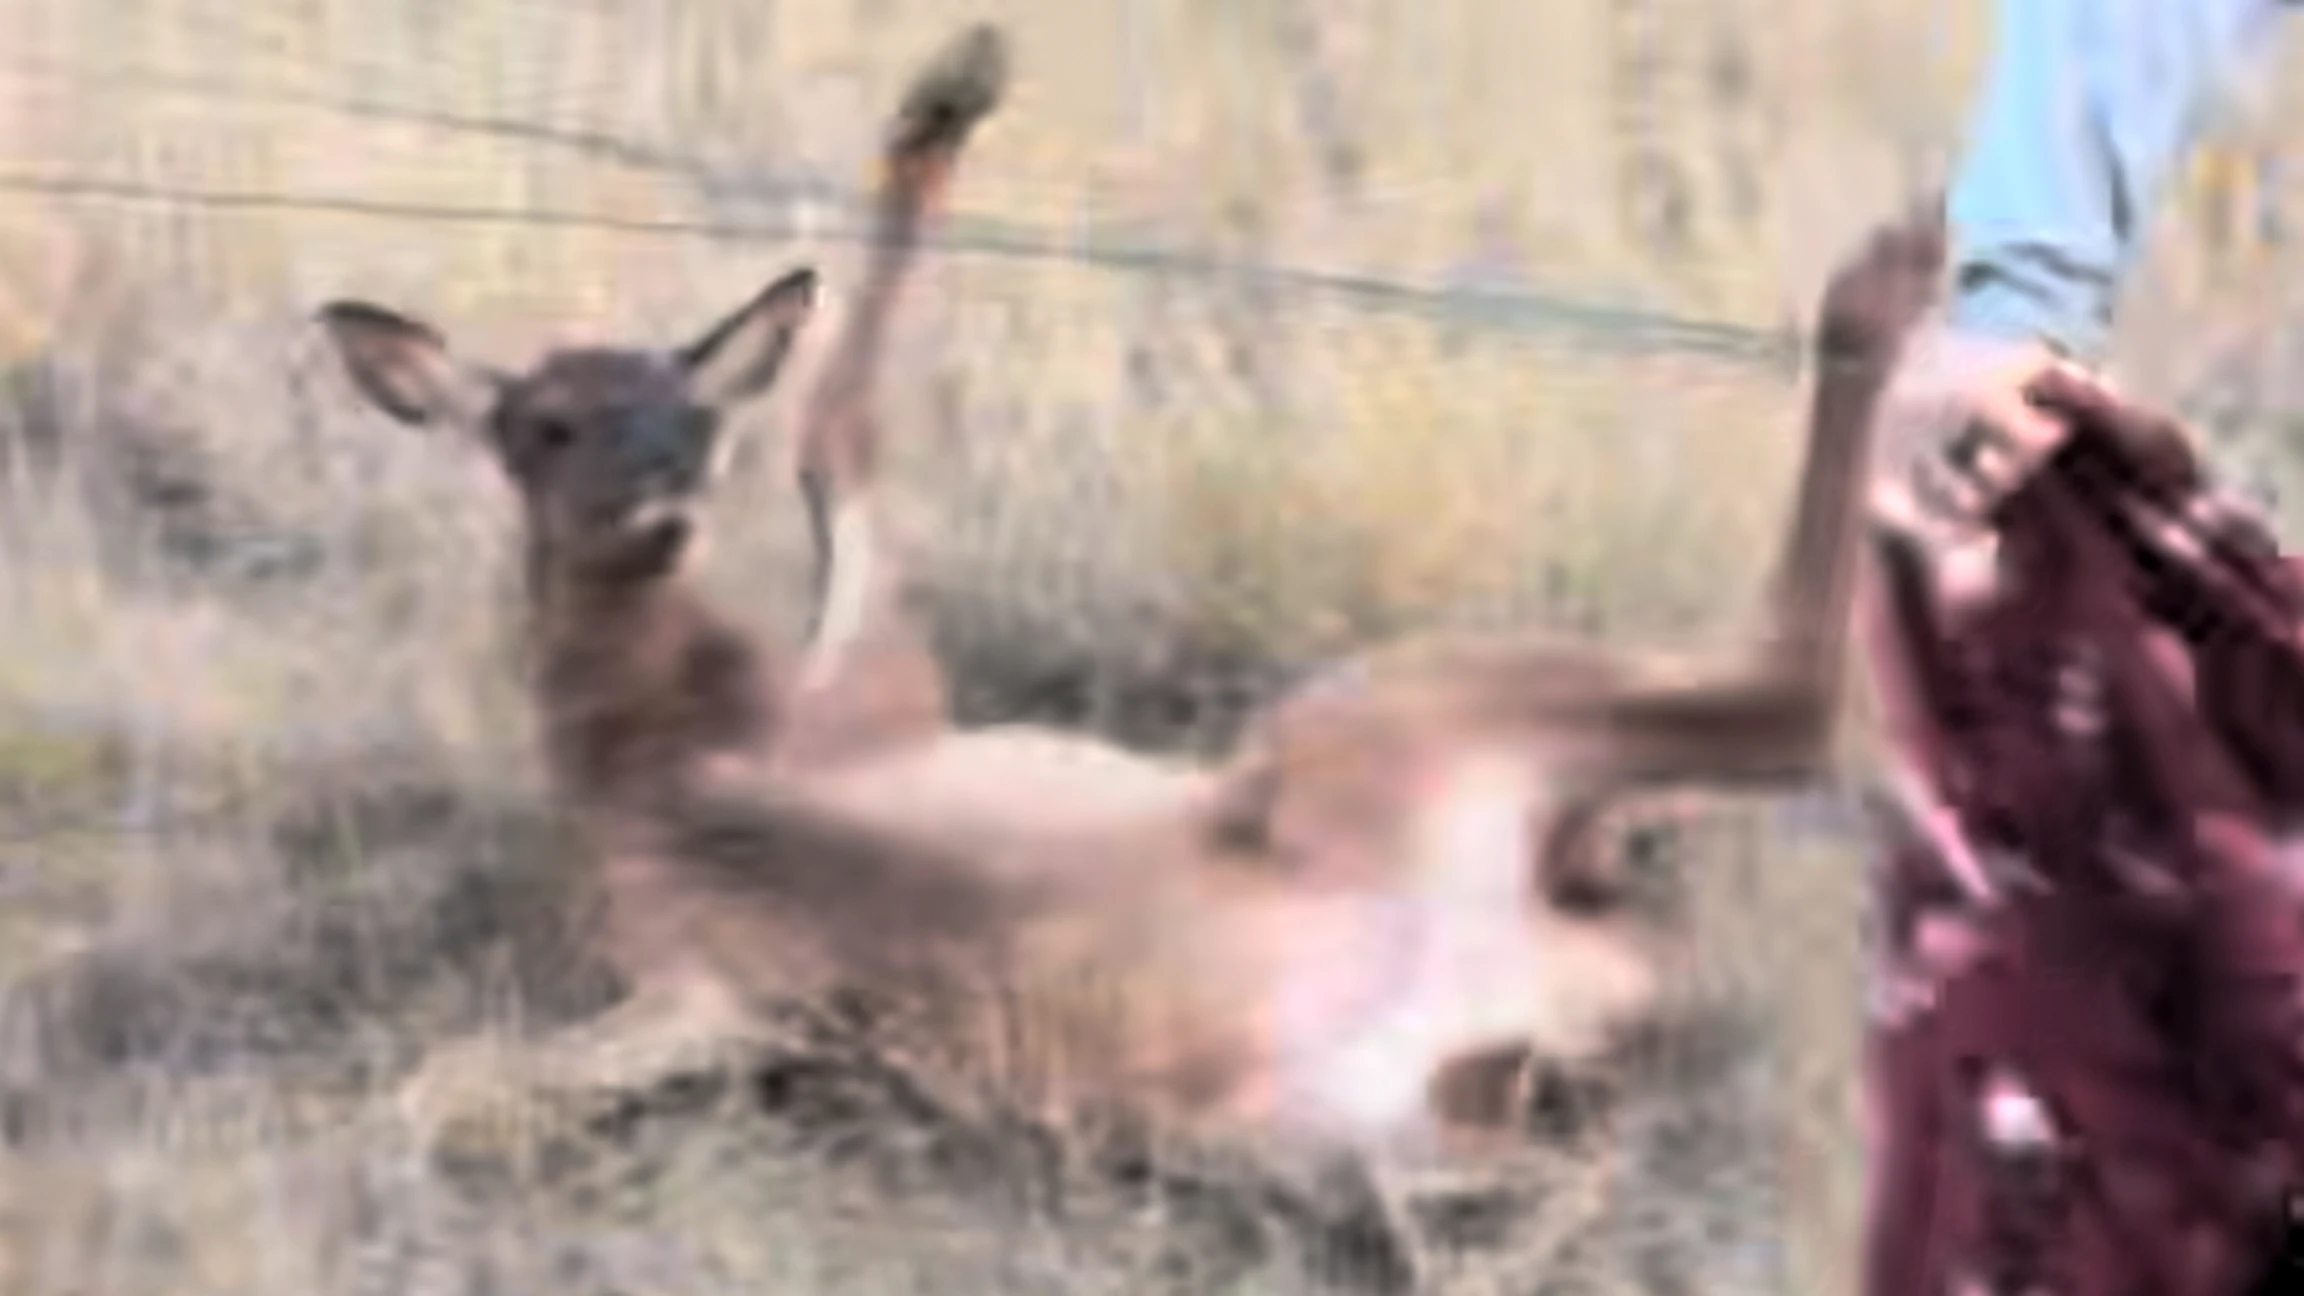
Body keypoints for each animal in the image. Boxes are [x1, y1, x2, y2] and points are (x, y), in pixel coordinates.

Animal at [315, 18, 1944, 1188]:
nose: (669, 490)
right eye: (543, 425)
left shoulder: (864, 702)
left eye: (687, 405)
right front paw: (945, 90)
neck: (655, 750)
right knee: (1788, 702)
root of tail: (1536, 980)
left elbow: (831, 431)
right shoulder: (737, 932)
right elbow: (437, 1089)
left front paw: (949, 86)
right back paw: (1894, 270)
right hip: (1382, 741)